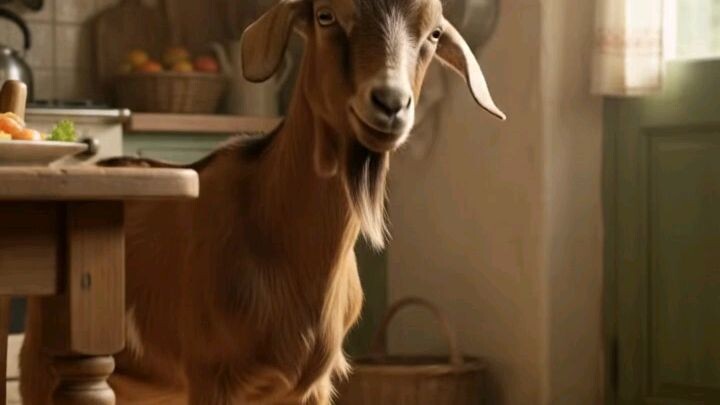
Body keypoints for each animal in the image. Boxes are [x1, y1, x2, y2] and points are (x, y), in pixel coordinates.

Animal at [20, 0, 505, 403]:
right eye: (326, 16)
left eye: (434, 33)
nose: (390, 103)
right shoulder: (212, 376)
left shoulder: (311, 386)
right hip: (43, 364)